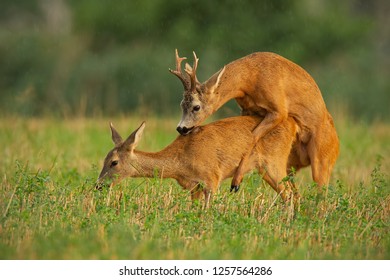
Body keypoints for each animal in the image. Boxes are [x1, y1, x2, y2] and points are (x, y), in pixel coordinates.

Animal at [96, 116, 304, 206]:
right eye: (104, 158)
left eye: (114, 162)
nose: (98, 185)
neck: (181, 161)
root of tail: (294, 124)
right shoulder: (194, 186)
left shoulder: (212, 177)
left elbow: (207, 209)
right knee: (293, 193)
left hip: (274, 162)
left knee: (289, 193)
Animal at [170, 49, 338, 191]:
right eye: (181, 104)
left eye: (196, 107)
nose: (181, 128)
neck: (250, 78)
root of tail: (337, 144)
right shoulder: (246, 110)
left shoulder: (279, 110)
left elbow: (252, 137)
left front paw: (236, 182)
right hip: (289, 164)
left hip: (322, 160)